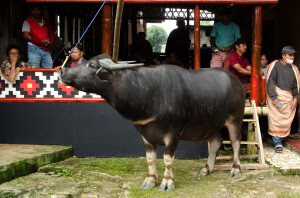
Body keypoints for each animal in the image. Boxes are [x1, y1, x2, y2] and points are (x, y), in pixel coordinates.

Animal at [59, 54, 246, 192]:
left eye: (91, 65)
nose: (62, 71)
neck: (149, 93)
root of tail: (237, 83)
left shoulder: (174, 134)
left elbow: (168, 159)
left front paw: (167, 182)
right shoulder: (144, 133)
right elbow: (150, 159)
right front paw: (150, 180)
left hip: (235, 119)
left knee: (236, 142)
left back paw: (236, 169)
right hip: (212, 122)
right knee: (215, 143)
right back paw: (206, 169)